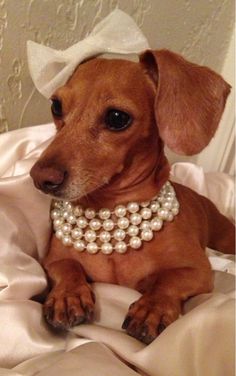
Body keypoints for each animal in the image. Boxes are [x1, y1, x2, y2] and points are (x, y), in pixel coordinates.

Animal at [30, 49, 235, 344]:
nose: (40, 178)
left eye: (117, 117)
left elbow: (168, 280)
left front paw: (153, 307)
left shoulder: (198, 271)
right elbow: (67, 266)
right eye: (56, 106)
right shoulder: (52, 261)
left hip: (226, 238)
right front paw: (68, 295)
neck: (111, 210)